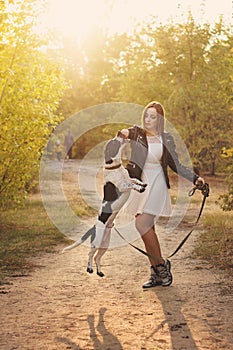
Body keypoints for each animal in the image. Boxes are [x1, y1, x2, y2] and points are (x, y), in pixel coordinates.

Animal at [62, 133, 146, 278]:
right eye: (113, 141)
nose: (119, 133)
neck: (115, 168)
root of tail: (93, 228)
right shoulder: (123, 186)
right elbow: (130, 184)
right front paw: (139, 188)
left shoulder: (129, 178)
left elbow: (134, 179)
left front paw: (142, 184)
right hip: (96, 243)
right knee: (90, 254)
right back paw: (89, 268)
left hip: (105, 245)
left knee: (97, 257)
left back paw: (99, 272)